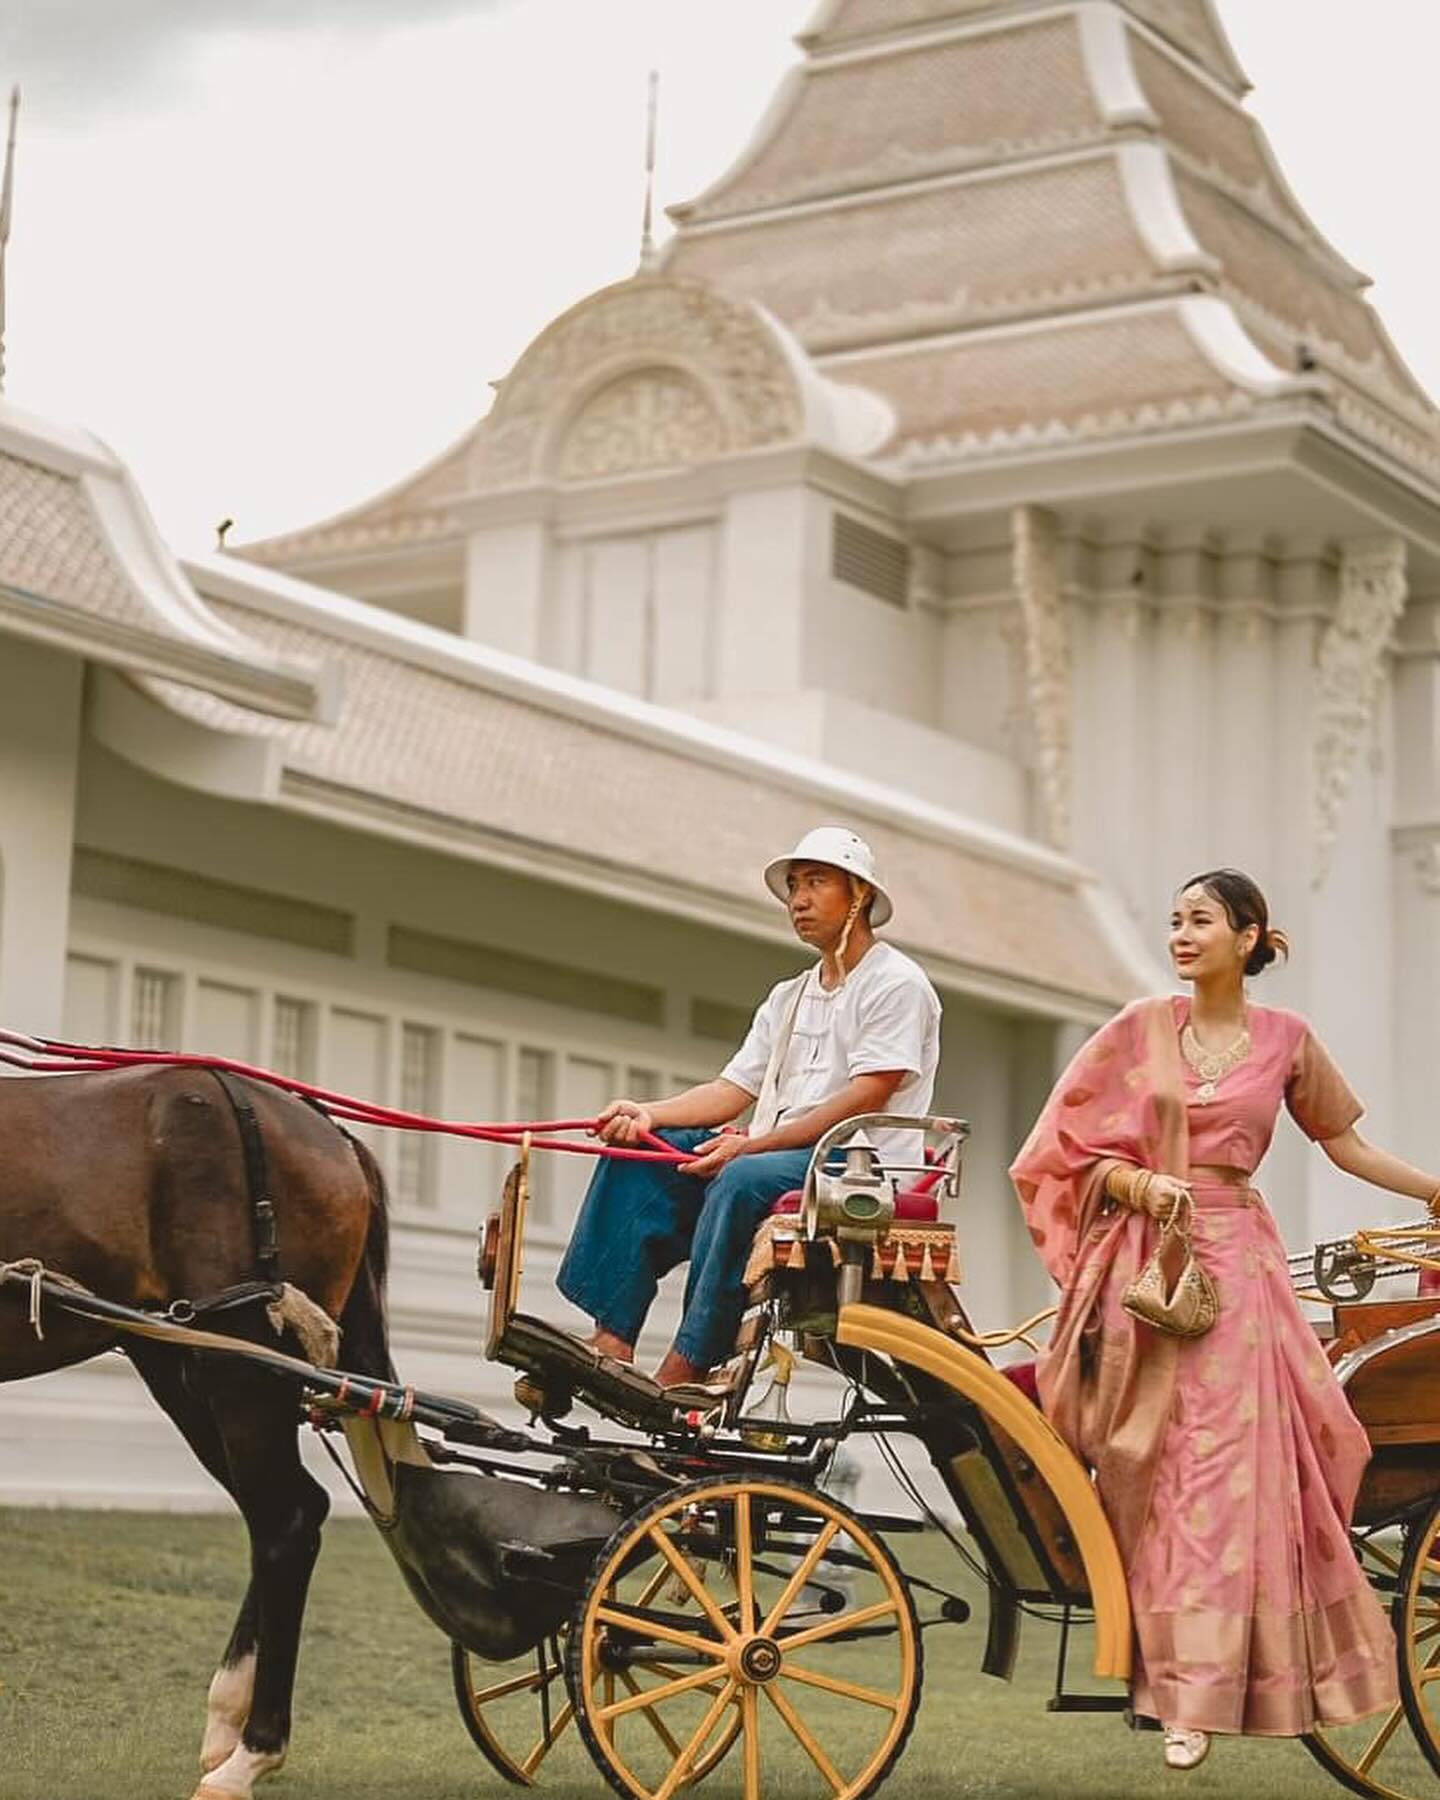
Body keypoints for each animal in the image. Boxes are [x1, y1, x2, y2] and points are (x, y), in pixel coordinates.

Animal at [0, 1065, 390, 1800]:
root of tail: (329, 1130)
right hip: (182, 1359)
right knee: (293, 1511)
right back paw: (229, 1718)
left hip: (240, 1364)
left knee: (286, 1521)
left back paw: (254, 1751)